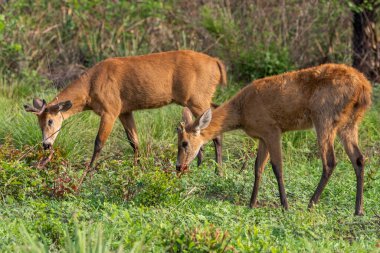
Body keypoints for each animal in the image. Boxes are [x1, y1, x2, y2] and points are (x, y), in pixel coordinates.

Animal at [25, 49, 227, 173]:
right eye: (38, 123)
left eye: (50, 121)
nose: (46, 144)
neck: (91, 86)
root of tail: (217, 63)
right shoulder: (125, 111)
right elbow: (134, 142)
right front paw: (137, 169)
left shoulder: (110, 110)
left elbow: (98, 142)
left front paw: (88, 171)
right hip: (200, 99)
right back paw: (199, 164)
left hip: (197, 98)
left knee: (216, 132)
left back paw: (217, 171)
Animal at [177, 63, 372, 215]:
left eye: (184, 143)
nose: (178, 166)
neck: (242, 111)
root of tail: (364, 87)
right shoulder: (262, 136)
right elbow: (258, 167)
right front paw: (252, 203)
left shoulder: (272, 130)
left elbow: (277, 167)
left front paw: (285, 205)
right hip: (350, 122)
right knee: (359, 159)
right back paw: (359, 209)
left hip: (324, 117)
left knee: (330, 161)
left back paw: (311, 204)